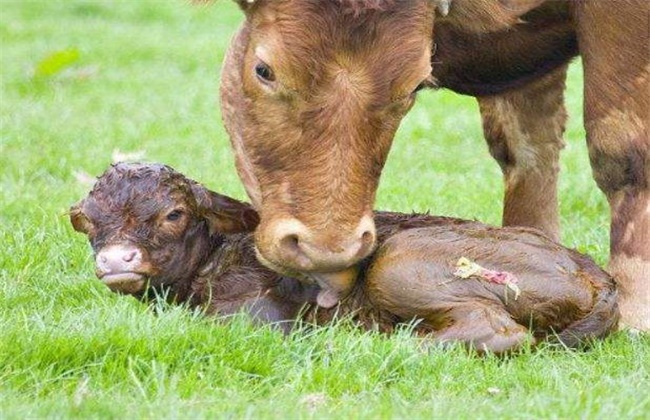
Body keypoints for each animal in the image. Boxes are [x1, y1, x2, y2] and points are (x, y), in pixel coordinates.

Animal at [69, 162, 616, 352]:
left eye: (174, 213)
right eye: (90, 221)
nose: (117, 260)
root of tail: (596, 274)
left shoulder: (256, 315)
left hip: (402, 262)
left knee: (497, 331)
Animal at [215, 0, 644, 330]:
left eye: (414, 86)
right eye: (264, 70)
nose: (326, 250)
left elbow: (620, 150)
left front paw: (634, 313)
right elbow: (526, 146)